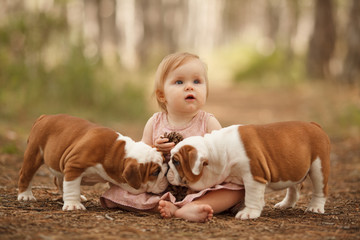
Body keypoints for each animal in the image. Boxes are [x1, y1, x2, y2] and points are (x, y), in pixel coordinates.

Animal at [17, 114, 168, 210]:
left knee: (59, 181)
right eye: (155, 172)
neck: (118, 153)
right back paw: (25, 196)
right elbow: (71, 186)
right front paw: (73, 205)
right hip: (34, 154)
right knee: (26, 174)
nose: (166, 171)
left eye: (165, 159)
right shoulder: (74, 166)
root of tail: (44, 117)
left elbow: (69, 185)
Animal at [167, 122, 330, 219]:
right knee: (294, 187)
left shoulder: (253, 177)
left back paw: (315, 207)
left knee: (320, 189)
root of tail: (314, 124)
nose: (168, 166)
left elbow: (252, 196)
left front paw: (248, 212)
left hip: (319, 168)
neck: (219, 151)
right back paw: (286, 204)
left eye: (176, 161)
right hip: (294, 169)